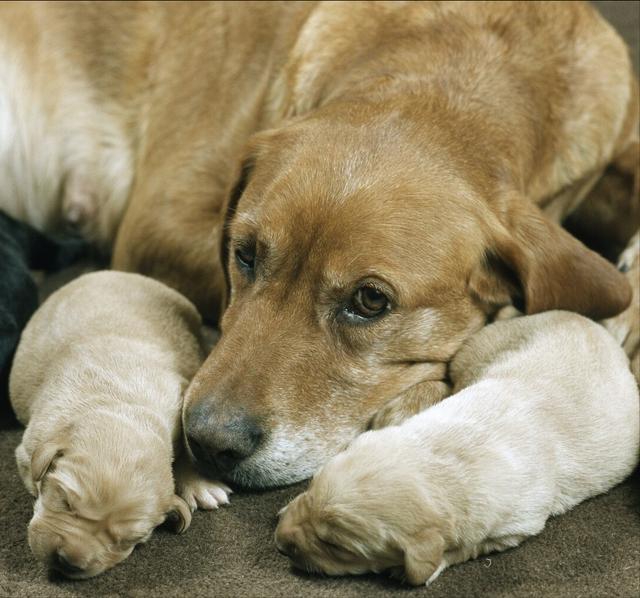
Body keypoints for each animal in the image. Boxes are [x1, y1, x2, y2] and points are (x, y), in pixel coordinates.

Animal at [10, 274, 230, 580]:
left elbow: (188, 443)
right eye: (66, 502)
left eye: (126, 540)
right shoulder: (30, 446)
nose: (67, 561)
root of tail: (112, 273)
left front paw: (200, 484)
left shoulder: (180, 398)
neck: (122, 403)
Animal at [276, 312, 640, 588]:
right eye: (310, 487)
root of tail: (586, 320)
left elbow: (466, 548)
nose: (279, 540)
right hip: (480, 345)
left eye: (334, 545)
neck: (441, 455)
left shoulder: (516, 526)